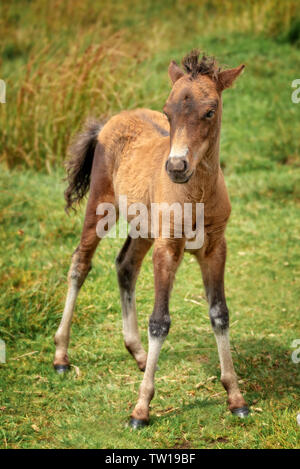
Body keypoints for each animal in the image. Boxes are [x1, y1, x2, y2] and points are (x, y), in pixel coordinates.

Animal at [53, 49, 248, 426]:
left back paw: (140, 356)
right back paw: (61, 356)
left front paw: (236, 397)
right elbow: (159, 321)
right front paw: (141, 409)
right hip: (100, 207)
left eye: (210, 111)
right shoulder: (167, 248)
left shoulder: (216, 248)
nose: (176, 167)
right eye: (168, 111)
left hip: (143, 227)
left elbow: (220, 314)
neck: (196, 196)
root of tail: (110, 121)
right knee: (80, 264)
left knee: (125, 265)